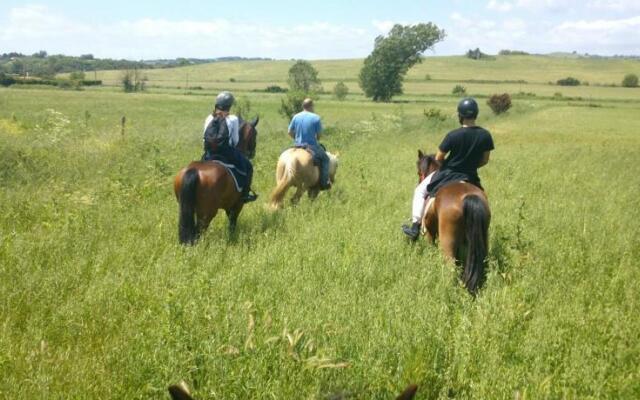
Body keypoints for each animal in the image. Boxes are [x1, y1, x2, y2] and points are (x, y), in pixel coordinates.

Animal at [174, 116, 258, 244]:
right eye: (255, 134)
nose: (252, 153)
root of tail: (193, 171)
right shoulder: (237, 204)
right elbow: (232, 222)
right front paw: (232, 237)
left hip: (187, 208)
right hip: (207, 212)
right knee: (199, 231)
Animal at [418, 150, 492, 294]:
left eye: (419, 172)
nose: (419, 180)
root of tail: (468, 196)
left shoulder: (430, 232)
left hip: (447, 241)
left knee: (451, 267)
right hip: (483, 237)